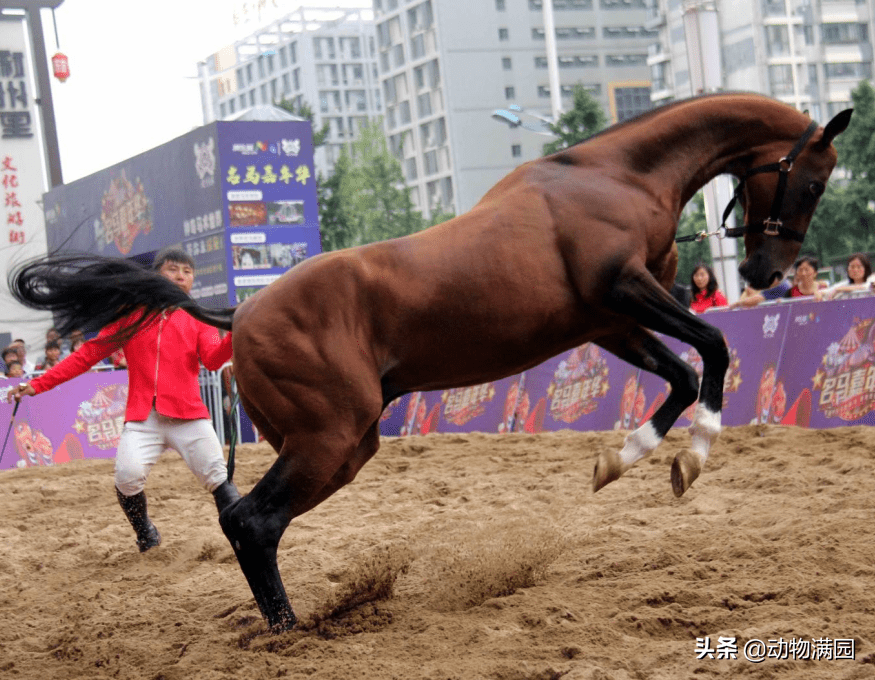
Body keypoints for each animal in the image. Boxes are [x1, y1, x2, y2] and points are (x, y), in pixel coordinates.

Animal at [10, 93, 852, 628]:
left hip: (345, 445)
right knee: (250, 520)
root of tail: (240, 314)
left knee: (250, 517)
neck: (608, 177)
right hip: (330, 438)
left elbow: (679, 373)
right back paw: (287, 628)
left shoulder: (609, 321)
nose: (768, 271)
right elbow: (713, 348)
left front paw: (627, 460)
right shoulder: (625, 293)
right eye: (810, 180)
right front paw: (696, 453)